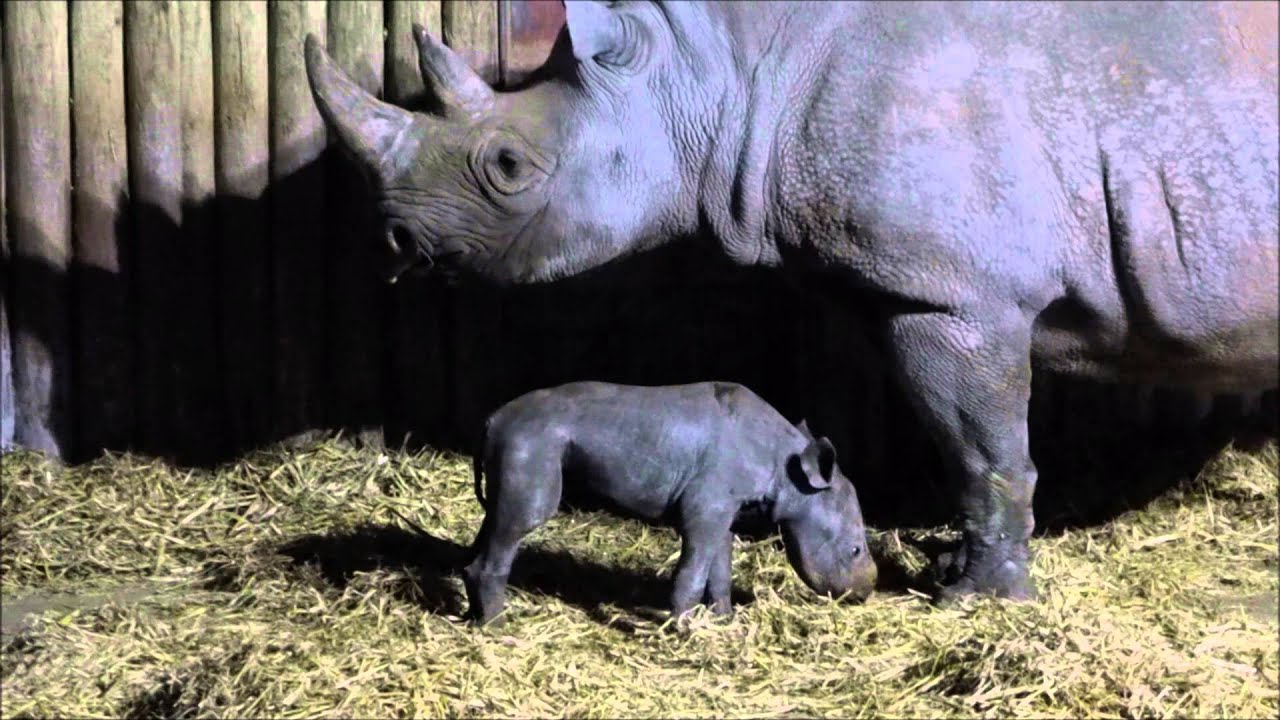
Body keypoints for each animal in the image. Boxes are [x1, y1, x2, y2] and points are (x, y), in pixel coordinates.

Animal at [304, 1, 1279, 602]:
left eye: (507, 166)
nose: (394, 242)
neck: (713, 73)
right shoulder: (920, 285)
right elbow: (972, 444)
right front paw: (955, 568)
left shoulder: (957, 294)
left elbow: (983, 449)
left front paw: (974, 599)